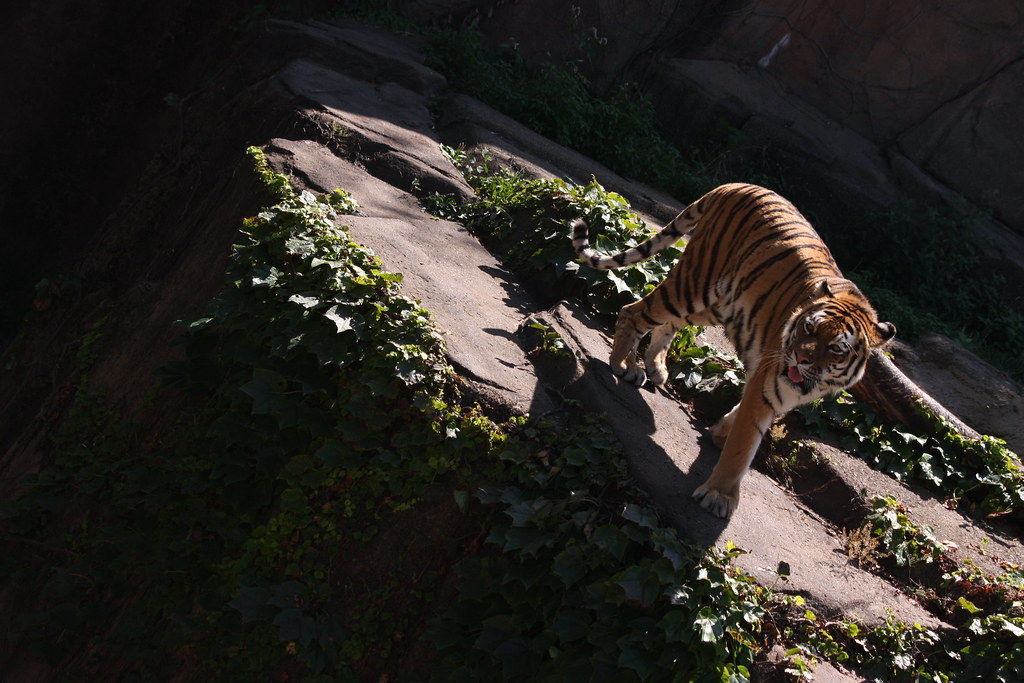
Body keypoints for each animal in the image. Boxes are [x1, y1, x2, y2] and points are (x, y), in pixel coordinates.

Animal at [572, 182, 895, 518]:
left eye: (835, 348)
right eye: (809, 328)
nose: (800, 357)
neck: (814, 383)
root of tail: (736, 185)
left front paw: (719, 431)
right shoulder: (767, 385)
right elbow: (743, 446)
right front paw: (719, 496)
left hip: (715, 305)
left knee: (666, 323)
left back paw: (655, 368)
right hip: (694, 284)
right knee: (634, 311)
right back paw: (624, 365)